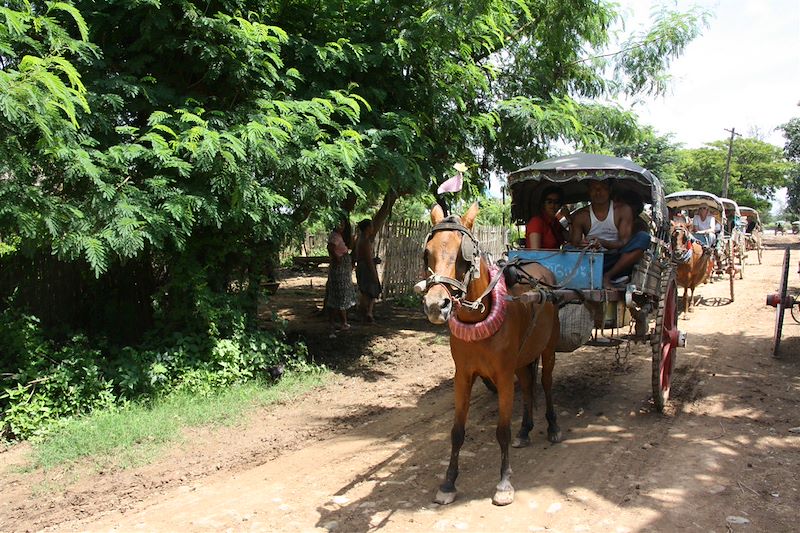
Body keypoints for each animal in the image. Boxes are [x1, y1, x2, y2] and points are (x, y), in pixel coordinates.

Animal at [418, 202, 564, 504]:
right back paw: (526, 430)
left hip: (548, 349)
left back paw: (553, 427)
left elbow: (502, 430)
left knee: (545, 384)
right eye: (428, 252)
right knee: (529, 387)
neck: (477, 318)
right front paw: (448, 483)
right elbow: (457, 432)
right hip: (522, 358)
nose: (436, 305)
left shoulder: (504, 376)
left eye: (464, 256)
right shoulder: (463, 376)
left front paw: (504, 482)